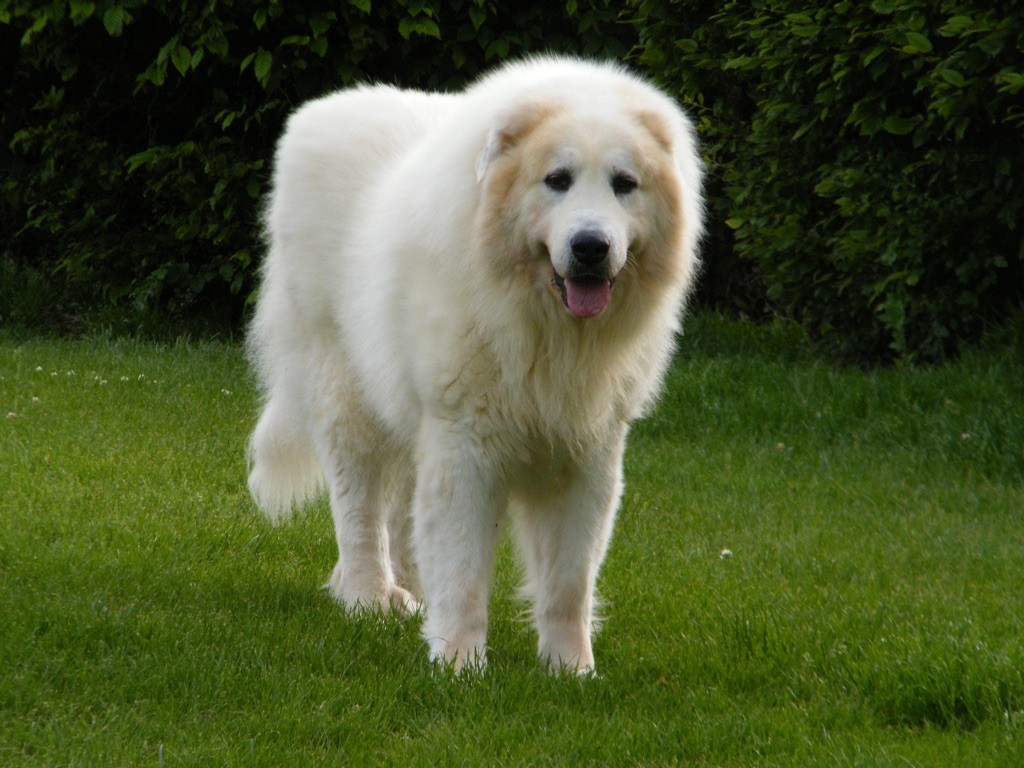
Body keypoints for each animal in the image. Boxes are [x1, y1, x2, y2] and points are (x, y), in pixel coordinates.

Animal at [245, 57, 704, 671]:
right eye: (557, 180)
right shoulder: (464, 442)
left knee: (405, 516)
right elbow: (463, 568)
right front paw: (459, 664)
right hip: (345, 395)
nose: (590, 247)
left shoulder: (588, 454)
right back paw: (367, 597)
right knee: (360, 511)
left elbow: (569, 582)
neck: (545, 331)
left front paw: (572, 671)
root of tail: (318, 112)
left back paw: (409, 597)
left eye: (624, 184)